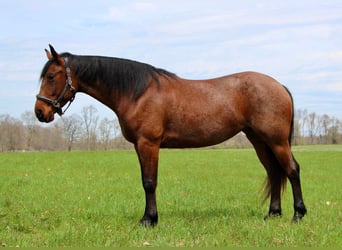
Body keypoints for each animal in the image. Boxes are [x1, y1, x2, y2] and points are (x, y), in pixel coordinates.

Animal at [34, 45, 308, 227]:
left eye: (51, 76)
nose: (40, 112)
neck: (138, 92)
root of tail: (279, 86)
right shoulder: (140, 146)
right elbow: (146, 180)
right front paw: (149, 217)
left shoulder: (149, 143)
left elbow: (149, 182)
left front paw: (149, 220)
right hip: (258, 139)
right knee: (274, 171)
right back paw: (272, 214)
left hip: (275, 140)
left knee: (292, 170)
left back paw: (298, 214)